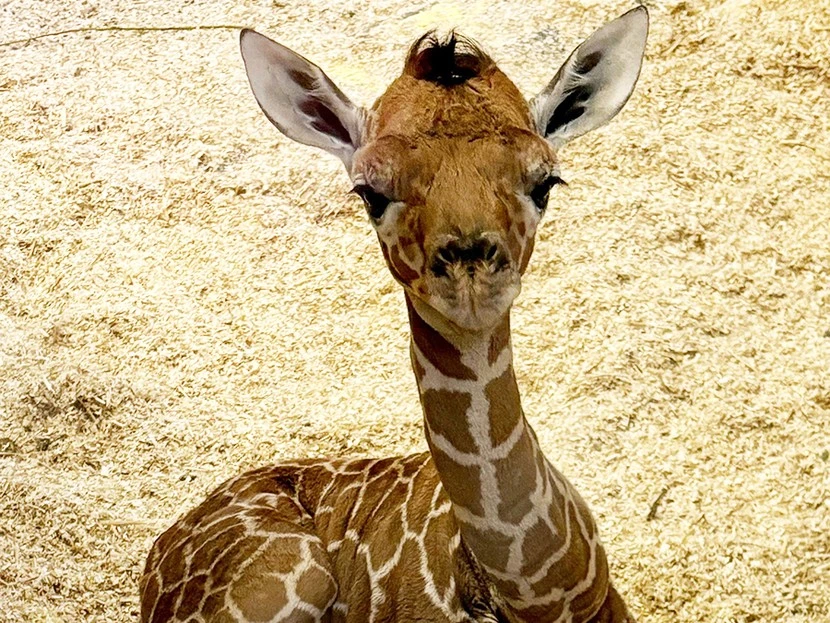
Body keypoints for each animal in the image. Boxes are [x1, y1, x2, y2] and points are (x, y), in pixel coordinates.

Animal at [140, 9, 648, 623]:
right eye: (370, 193)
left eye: (545, 181)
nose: (471, 273)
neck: (543, 597)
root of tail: (160, 547)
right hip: (294, 578)